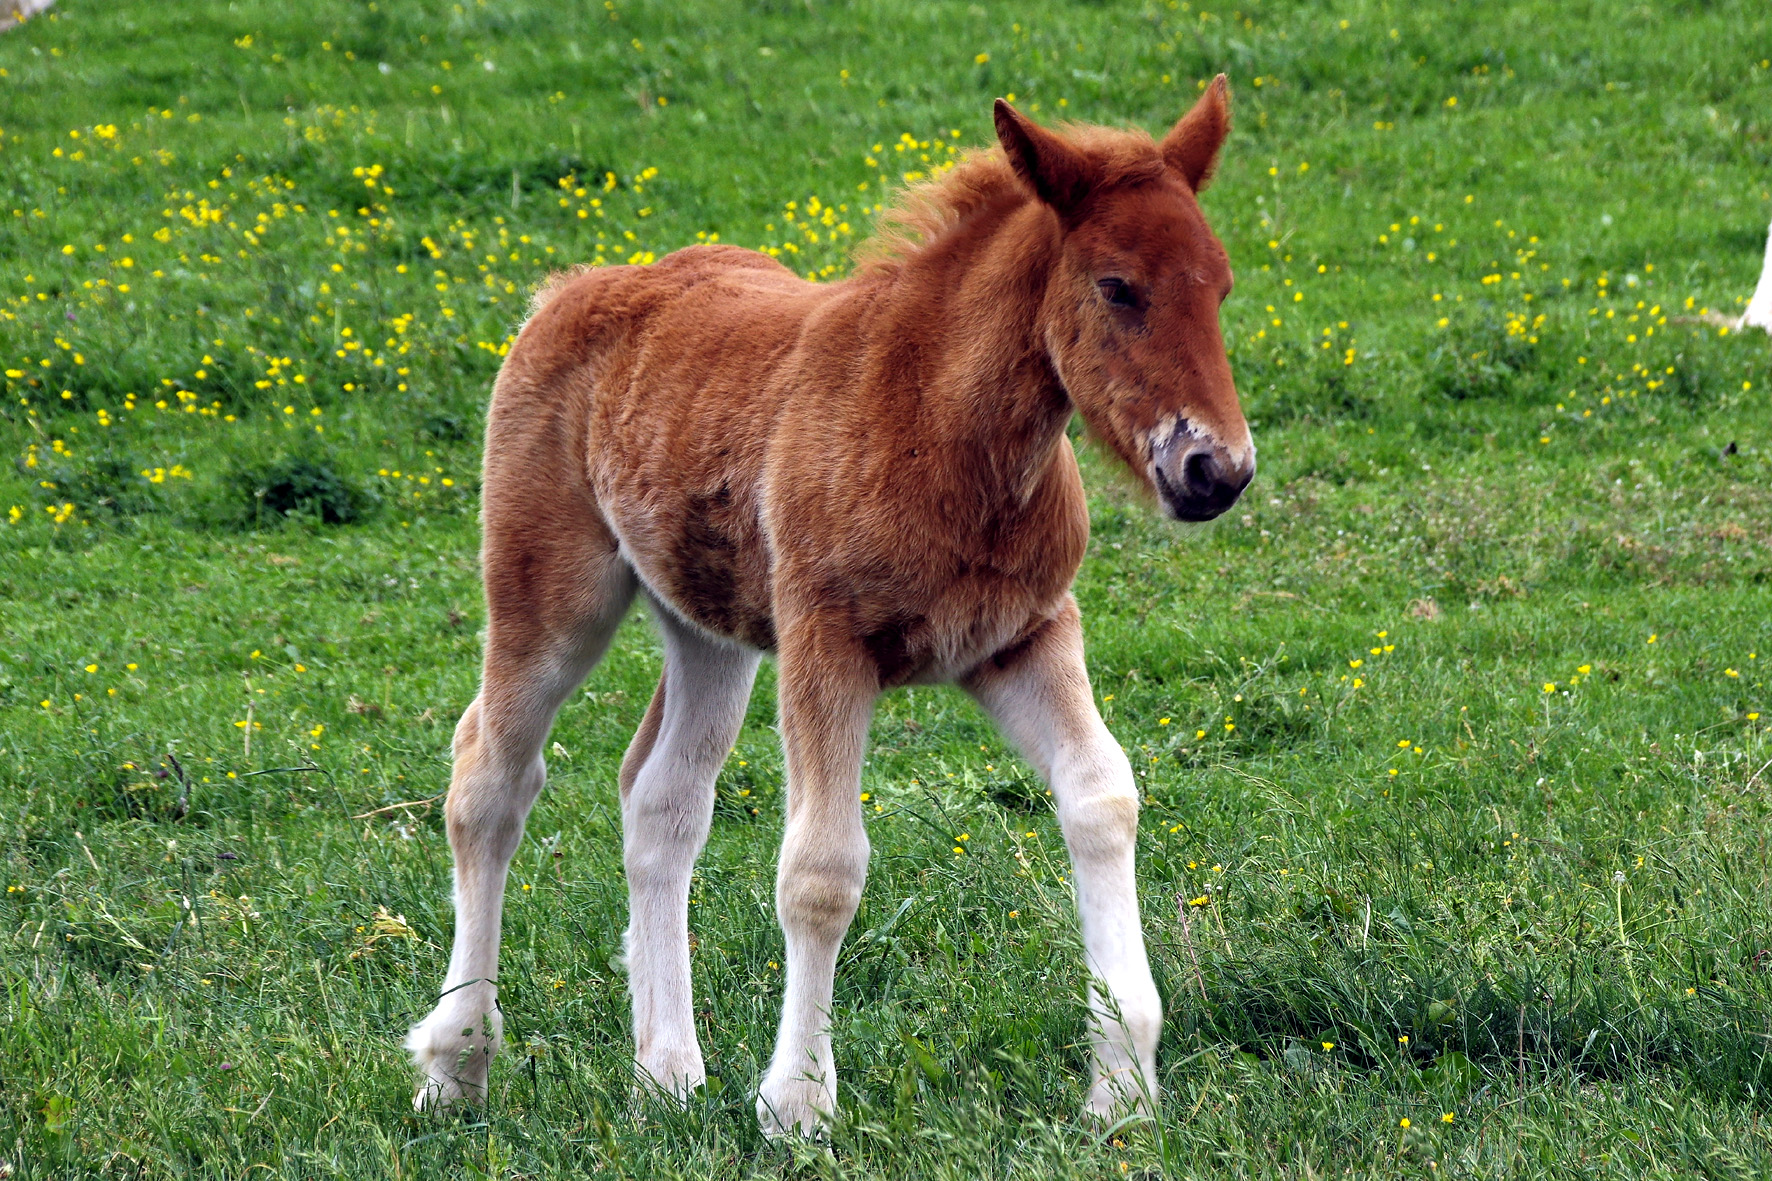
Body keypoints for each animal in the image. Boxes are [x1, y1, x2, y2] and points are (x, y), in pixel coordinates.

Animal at [407, 78, 1254, 1127]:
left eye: (1220, 286)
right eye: (1116, 286)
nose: (1215, 469)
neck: (938, 425)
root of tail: (570, 288)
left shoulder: (1022, 638)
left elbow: (1103, 794)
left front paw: (1122, 1086)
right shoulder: (827, 643)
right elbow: (821, 870)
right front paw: (799, 1105)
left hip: (711, 628)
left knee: (661, 796)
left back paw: (668, 1073)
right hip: (550, 589)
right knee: (489, 777)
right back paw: (456, 1062)